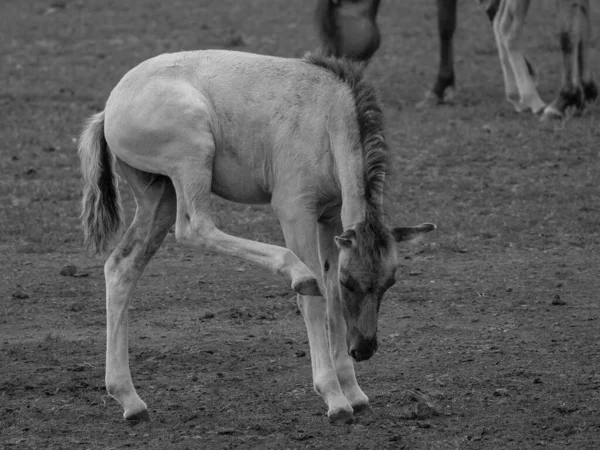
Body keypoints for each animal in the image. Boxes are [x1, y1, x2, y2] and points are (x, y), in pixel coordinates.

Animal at [79, 50, 436, 426]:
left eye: (389, 283)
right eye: (351, 283)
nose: (364, 348)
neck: (326, 115)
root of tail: (109, 110)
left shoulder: (329, 219)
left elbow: (332, 298)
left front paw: (354, 392)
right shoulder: (295, 211)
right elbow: (316, 300)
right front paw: (335, 398)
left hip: (158, 196)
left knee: (122, 267)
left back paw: (129, 399)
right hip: (193, 158)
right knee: (194, 228)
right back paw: (297, 272)